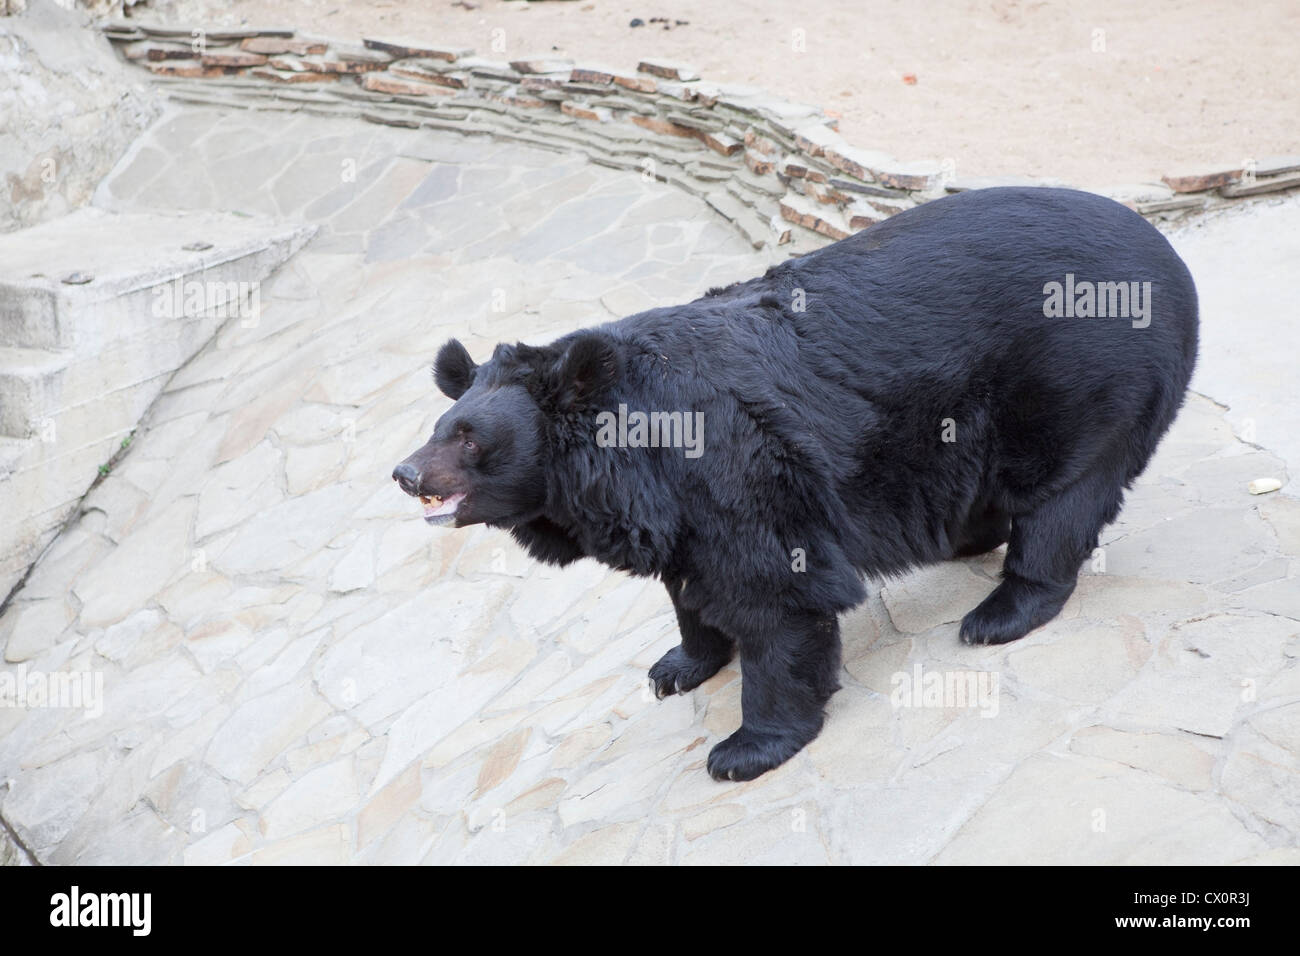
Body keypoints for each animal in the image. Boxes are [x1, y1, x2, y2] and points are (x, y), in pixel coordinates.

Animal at [387, 188, 1196, 785]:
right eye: (439, 426)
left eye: (468, 438)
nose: (404, 473)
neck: (624, 458)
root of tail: (1165, 252)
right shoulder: (674, 507)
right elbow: (688, 583)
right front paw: (677, 667)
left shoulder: (732, 467)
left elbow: (774, 592)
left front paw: (745, 748)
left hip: (1077, 382)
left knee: (1063, 499)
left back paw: (1000, 612)